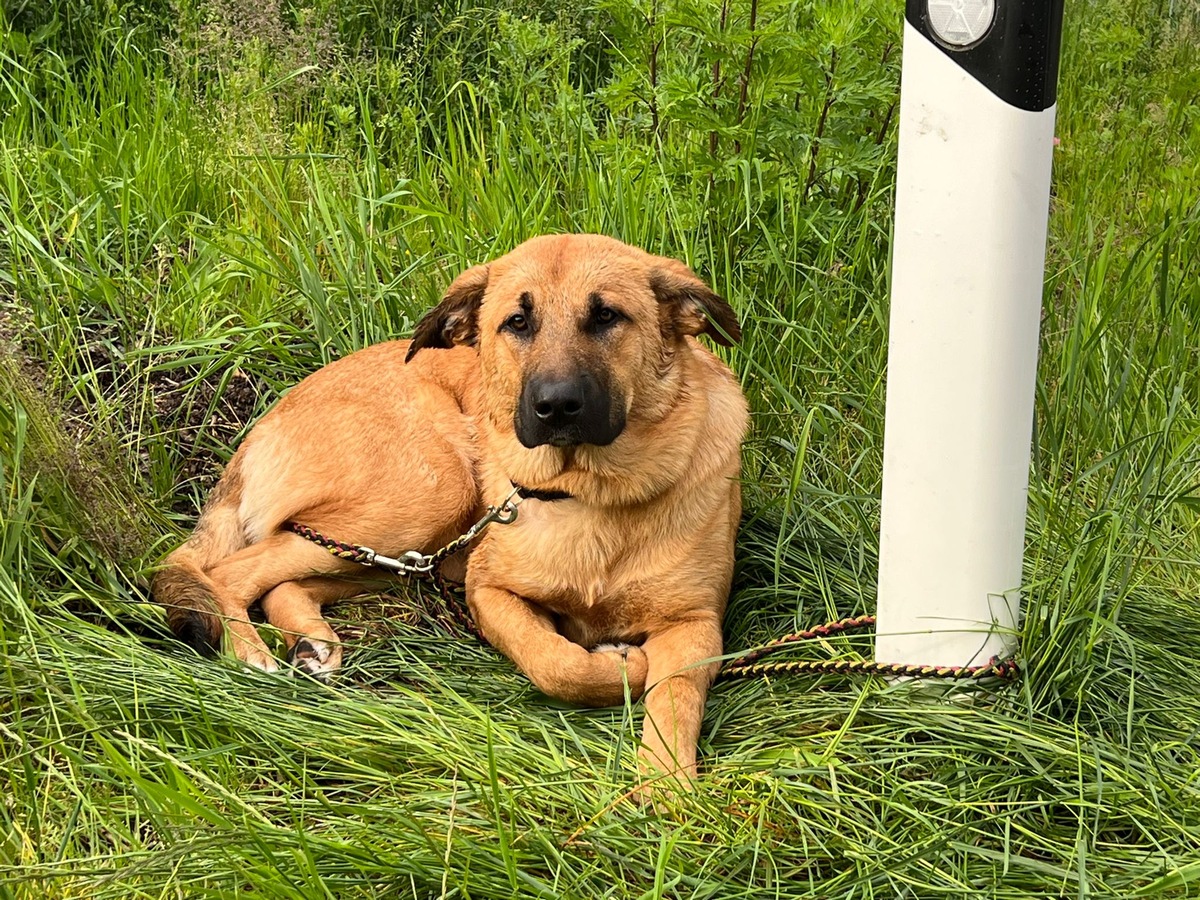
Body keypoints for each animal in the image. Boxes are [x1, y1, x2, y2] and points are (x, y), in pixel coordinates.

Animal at [152, 236, 748, 787]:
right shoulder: (489, 592)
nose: (555, 406)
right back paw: (249, 652)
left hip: (392, 547)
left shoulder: (695, 624)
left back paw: (312, 642)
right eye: (517, 322)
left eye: (606, 315)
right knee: (228, 572)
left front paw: (665, 792)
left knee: (282, 581)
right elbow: (557, 663)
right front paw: (625, 666)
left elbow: (675, 702)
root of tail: (262, 427)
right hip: (432, 492)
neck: (591, 494)